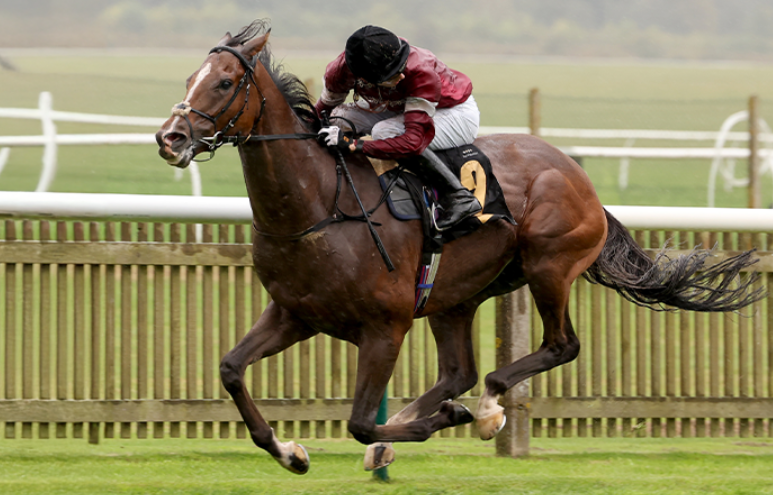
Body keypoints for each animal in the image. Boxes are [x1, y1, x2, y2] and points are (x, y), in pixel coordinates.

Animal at [155, 20, 762, 475]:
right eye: (190, 77)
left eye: (225, 83)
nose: (170, 138)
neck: (319, 205)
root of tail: (578, 176)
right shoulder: (294, 313)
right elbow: (232, 369)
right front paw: (291, 452)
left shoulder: (385, 326)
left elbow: (359, 421)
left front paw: (449, 421)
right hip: (455, 296)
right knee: (458, 373)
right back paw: (425, 424)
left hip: (549, 265)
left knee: (556, 347)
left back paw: (488, 409)